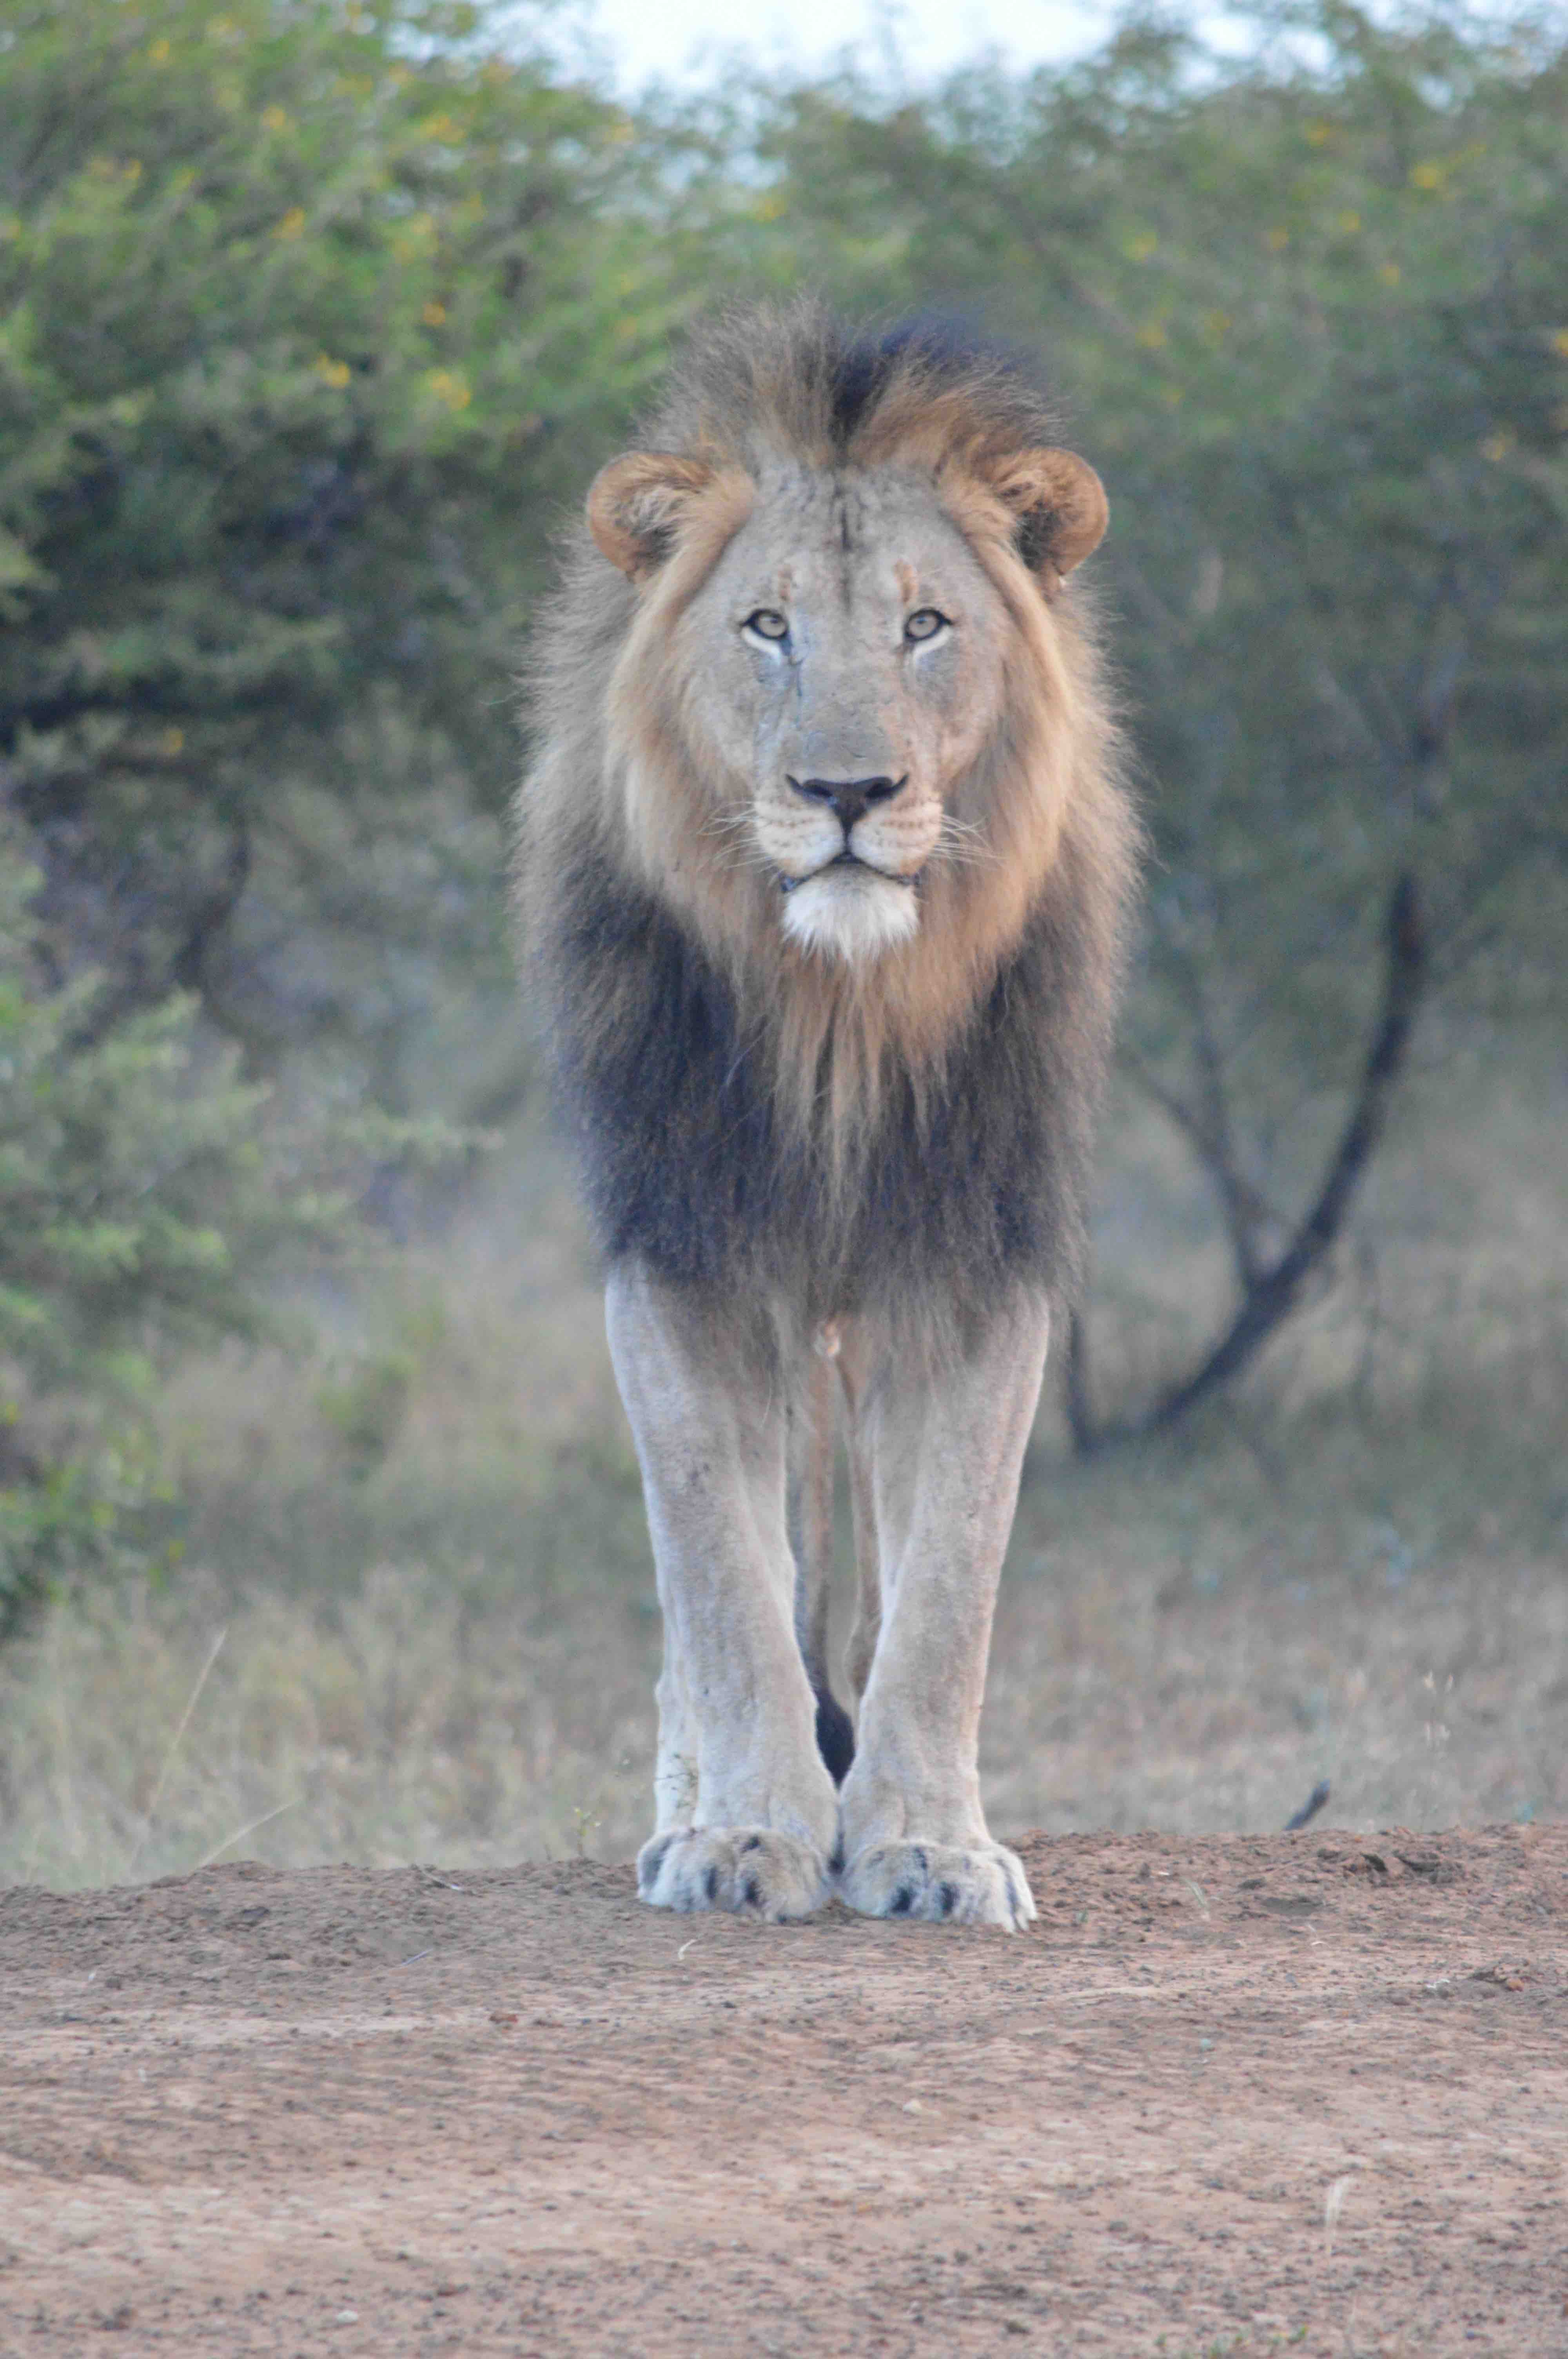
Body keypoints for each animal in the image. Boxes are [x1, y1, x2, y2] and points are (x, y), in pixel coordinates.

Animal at [517, 303, 1138, 1931]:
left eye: (925, 626)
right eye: (766, 627)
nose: (846, 790)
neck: (841, 1014)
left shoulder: (973, 1256)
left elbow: (946, 1586)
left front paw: (925, 1840)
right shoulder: (685, 1251)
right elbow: (721, 1580)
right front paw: (744, 1834)